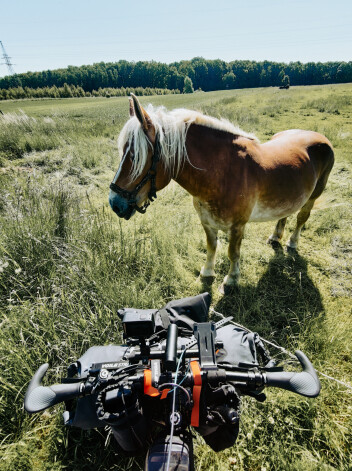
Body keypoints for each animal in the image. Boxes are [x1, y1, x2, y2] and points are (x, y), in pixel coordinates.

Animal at [108, 94, 334, 292]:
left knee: (302, 217)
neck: (223, 173)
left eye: (135, 156)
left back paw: (292, 242)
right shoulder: (207, 222)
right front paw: (207, 272)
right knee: (285, 213)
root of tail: (318, 137)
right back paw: (275, 237)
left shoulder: (237, 227)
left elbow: (233, 253)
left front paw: (231, 280)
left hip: (313, 196)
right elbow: (212, 247)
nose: (115, 203)